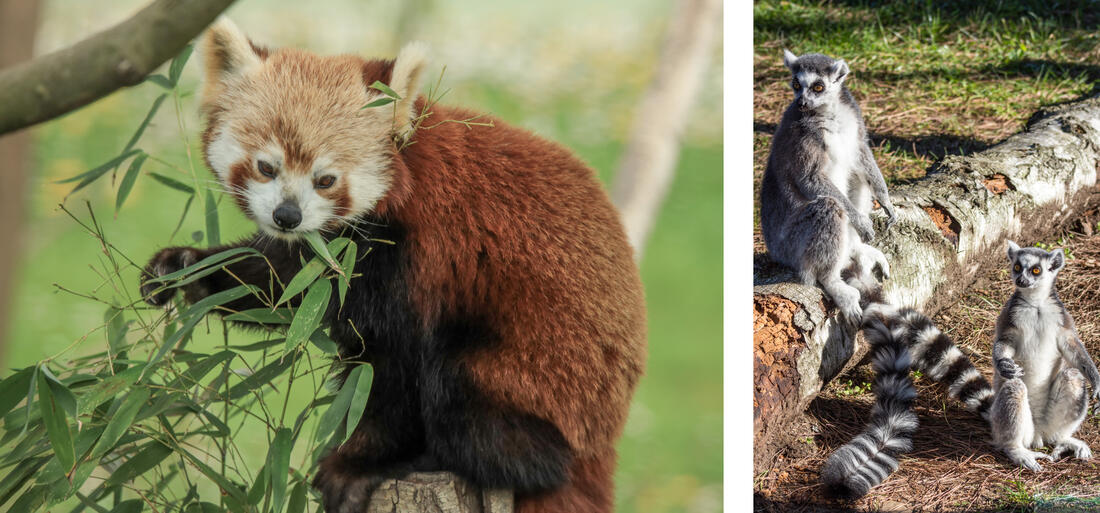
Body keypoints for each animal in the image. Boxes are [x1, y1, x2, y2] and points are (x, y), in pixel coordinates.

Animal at [141, 18, 646, 510]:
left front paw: (356, 465)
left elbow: (390, 371)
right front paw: (184, 269)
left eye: (326, 180)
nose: (287, 215)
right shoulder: (331, 257)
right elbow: (283, 285)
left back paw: (432, 457)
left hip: (538, 377)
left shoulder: (416, 254)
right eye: (266, 167)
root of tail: (605, 437)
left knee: (472, 403)